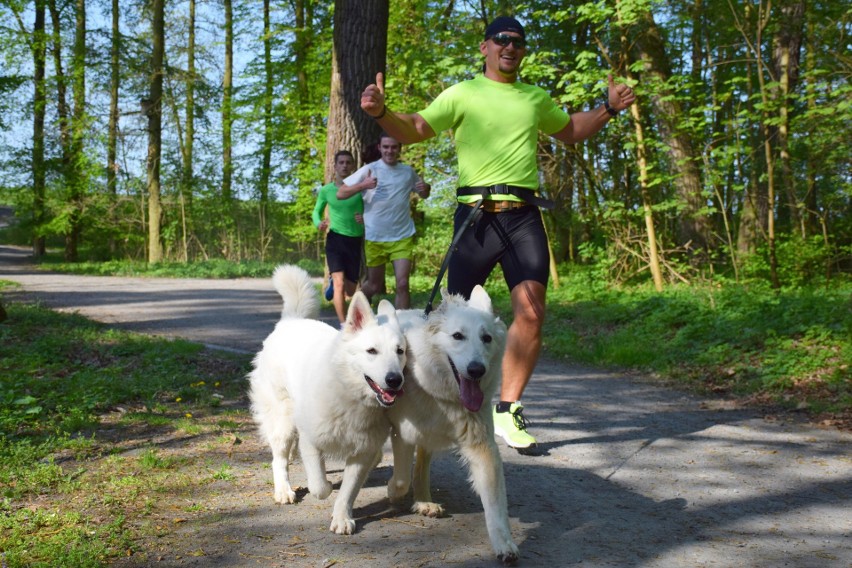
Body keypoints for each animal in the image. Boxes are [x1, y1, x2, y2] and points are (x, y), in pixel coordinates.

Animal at [248, 264, 408, 536]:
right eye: (371, 351)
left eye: (400, 351)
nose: (395, 380)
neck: (350, 397)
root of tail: (291, 321)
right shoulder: (311, 442)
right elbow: (320, 486)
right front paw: (324, 490)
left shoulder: (362, 453)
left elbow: (348, 492)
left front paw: (342, 518)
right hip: (283, 420)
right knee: (278, 458)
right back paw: (283, 490)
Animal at [386, 288, 520, 564]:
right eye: (458, 336)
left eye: (487, 338)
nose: (477, 370)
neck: (441, 395)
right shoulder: (401, 433)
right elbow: (401, 479)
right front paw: (392, 491)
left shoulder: (482, 447)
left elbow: (495, 505)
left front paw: (504, 544)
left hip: (426, 440)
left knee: (421, 469)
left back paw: (424, 502)